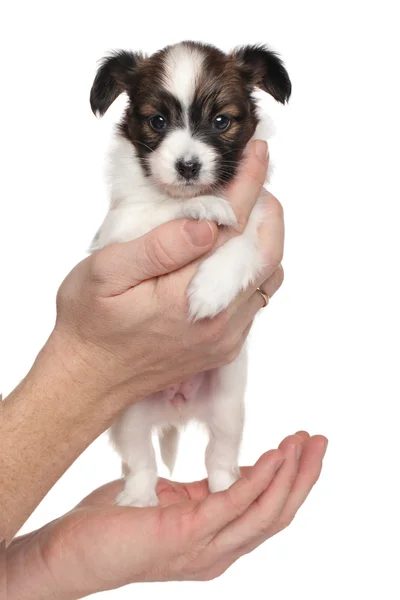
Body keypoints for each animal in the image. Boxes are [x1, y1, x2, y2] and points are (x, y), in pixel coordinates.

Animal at [90, 41, 290, 506]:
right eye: (157, 121)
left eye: (221, 121)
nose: (187, 166)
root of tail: (176, 408)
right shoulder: (119, 234)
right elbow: (166, 209)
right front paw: (203, 206)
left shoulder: (257, 220)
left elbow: (239, 243)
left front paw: (210, 290)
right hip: (129, 416)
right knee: (140, 462)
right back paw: (139, 499)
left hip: (227, 409)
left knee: (219, 455)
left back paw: (227, 490)